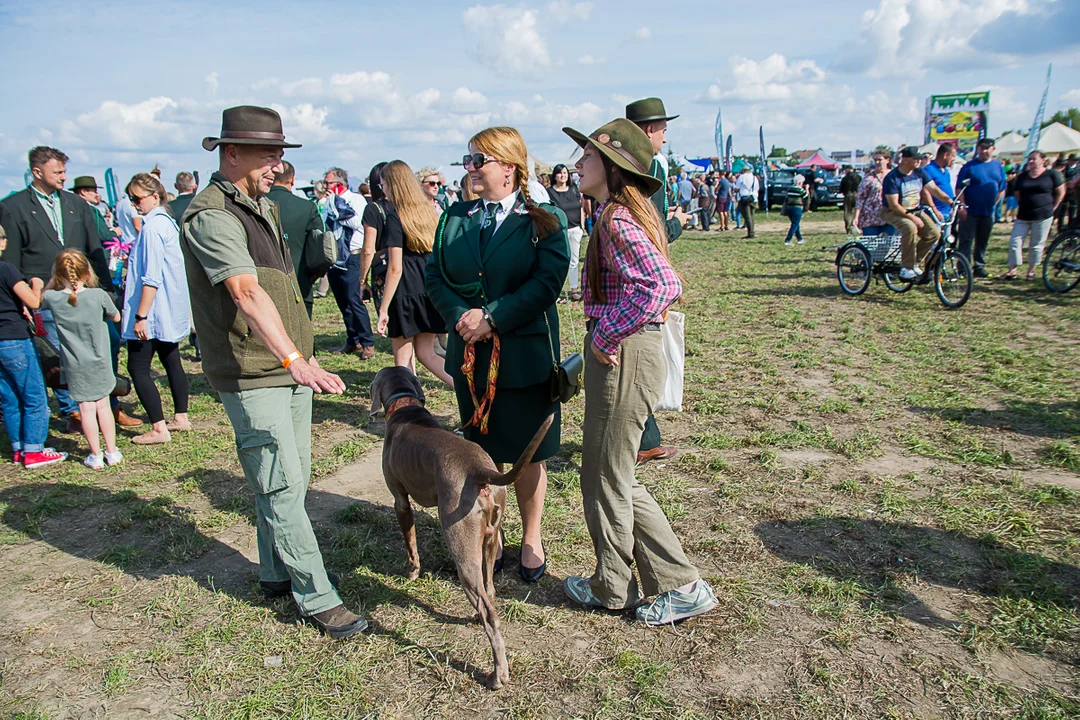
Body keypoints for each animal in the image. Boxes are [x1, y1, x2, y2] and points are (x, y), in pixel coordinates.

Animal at [371, 369, 557, 690]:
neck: (405, 406)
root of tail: (478, 470)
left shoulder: (400, 501)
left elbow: (410, 543)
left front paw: (412, 573)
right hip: (490, 538)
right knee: (490, 590)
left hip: (461, 547)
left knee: (487, 611)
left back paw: (497, 675)